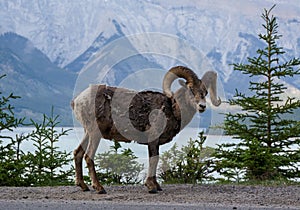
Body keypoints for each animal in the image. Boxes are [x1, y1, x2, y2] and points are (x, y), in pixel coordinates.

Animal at [70, 66, 220, 194]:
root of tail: (77, 101)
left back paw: (83, 186)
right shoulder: (153, 138)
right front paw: (151, 187)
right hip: (95, 133)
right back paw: (99, 188)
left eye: (205, 92)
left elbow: (155, 159)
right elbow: (154, 159)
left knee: (78, 153)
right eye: (190, 89)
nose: (202, 106)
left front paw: (157, 186)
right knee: (88, 156)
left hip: (88, 133)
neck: (172, 109)